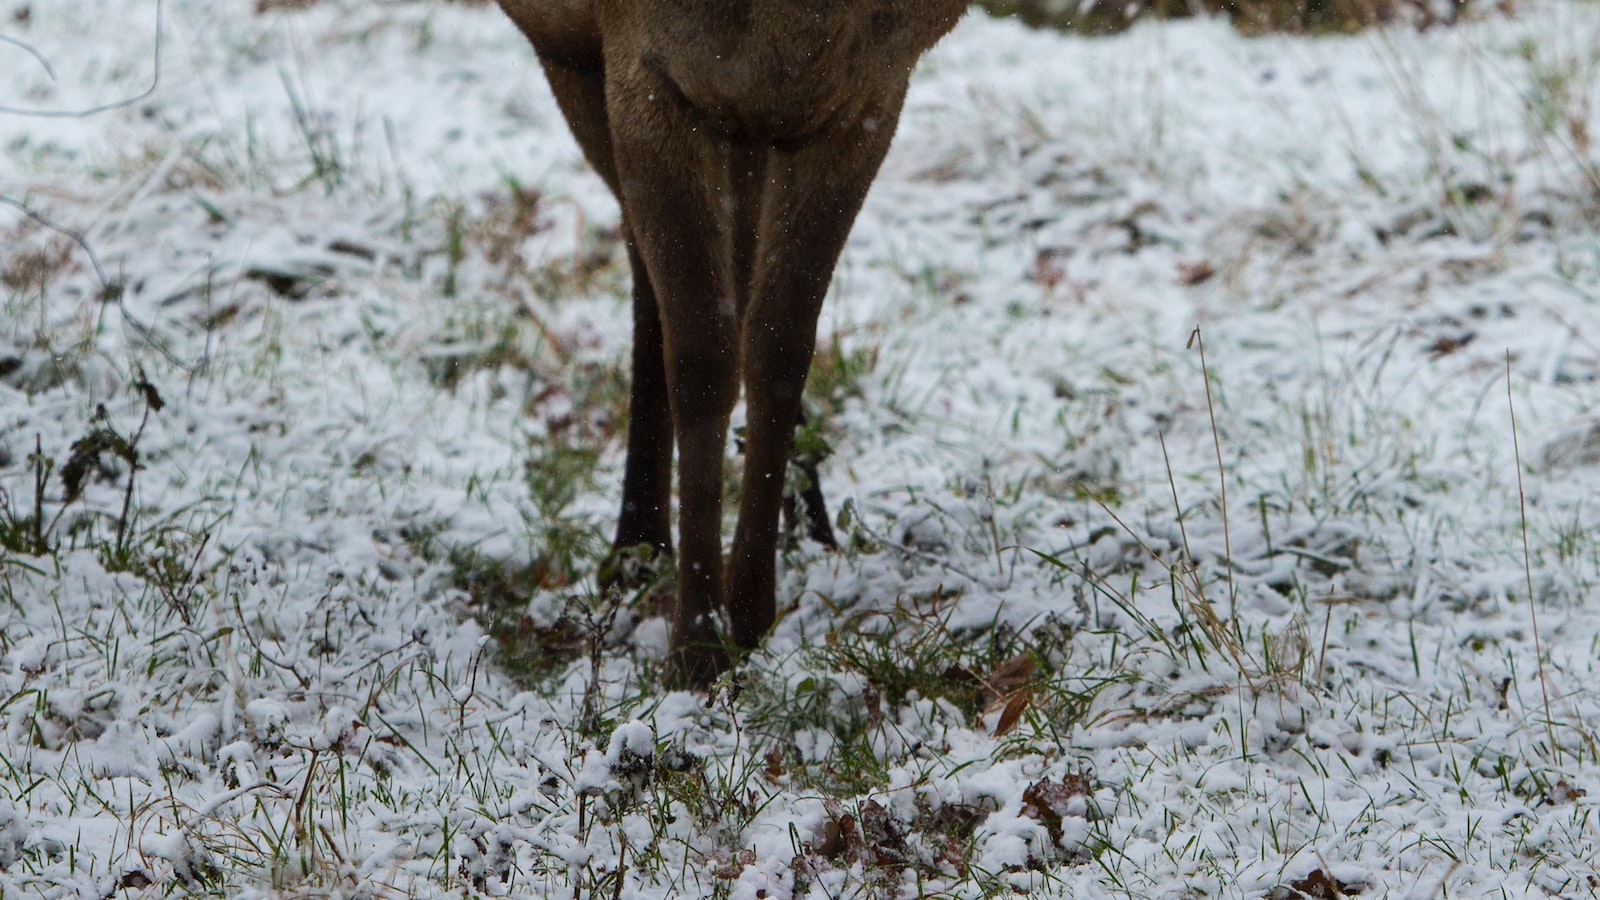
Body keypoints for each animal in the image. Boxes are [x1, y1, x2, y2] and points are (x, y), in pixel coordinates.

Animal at [492, 0, 966, 682]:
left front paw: (751, 615)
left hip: (746, 130)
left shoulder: (870, 94)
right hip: (572, 55)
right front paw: (697, 647)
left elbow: (780, 346)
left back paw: (809, 527)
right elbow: (701, 359)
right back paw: (636, 547)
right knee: (652, 278)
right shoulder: (645, 76)